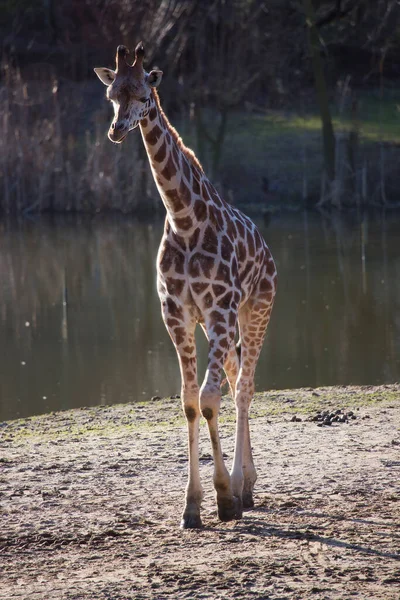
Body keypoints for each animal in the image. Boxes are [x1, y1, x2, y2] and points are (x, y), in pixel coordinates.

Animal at [95, 43, 276, 528]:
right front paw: (193, 506)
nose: (116, 130)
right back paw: (248, 483)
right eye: (112, 96)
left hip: (256, 310)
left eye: (144, 96)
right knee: (236, 380)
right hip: (227, 323)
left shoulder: (219, 310)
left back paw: (244, 487)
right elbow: (191, 402)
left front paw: (223, 498)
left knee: (245, 387)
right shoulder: (176, 314)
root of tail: (266, 248)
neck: (184, 220)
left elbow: (211, 399)